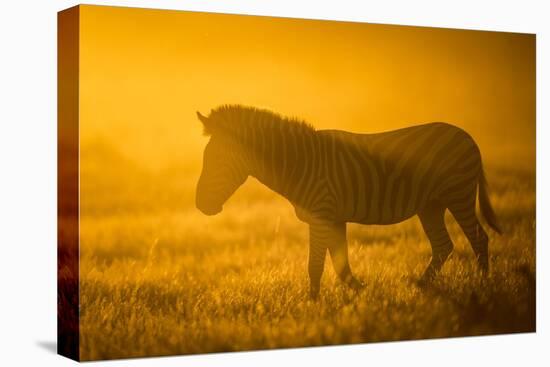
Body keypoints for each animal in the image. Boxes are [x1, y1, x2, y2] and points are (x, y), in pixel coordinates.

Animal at [196, 104, 502, 300]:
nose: (200, 205)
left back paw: (483, 285)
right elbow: (340, 266)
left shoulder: (322, 214)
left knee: (478, 238)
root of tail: (467, 137)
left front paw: (313, 305)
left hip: (458, 194)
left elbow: (316, 265)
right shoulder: (333, 218)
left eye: (215, 160)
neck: (300, 163)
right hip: (431, 205)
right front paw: (362, 293)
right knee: (443, 246)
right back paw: (421, 286)